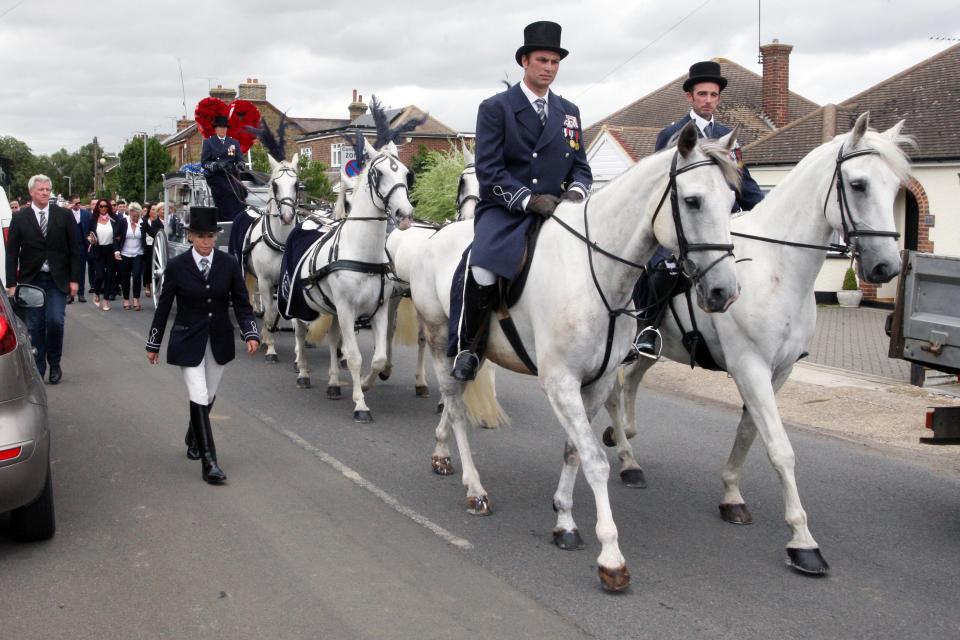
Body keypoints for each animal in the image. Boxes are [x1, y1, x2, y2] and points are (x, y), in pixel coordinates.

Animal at [242, 154, 298, 360]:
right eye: (275, 185)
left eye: (296, 184)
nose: (288, 216)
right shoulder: (264, 281)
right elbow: (269, 314)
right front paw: (271, 350)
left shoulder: (287, 281)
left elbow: (282, 315)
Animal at [290, 138, 414, 422]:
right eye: (379, 174)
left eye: (405, 174)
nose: (405, 214)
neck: (361, 253)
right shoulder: (347, 309)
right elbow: (354, 356)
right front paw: (360, 405)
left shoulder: (378, 309)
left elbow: (378, 357)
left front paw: (367, 384)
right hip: (300, 305)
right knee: (300, 333)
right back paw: (302, 372)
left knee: (333, 339)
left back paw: (334, 383)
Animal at [410, 124, 744, 592]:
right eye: (693, 201)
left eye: (733, 202)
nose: (723, 292)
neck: (597, 275)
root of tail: (436, 236)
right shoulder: (561, 383)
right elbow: (596, 461)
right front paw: (612, 558)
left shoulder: (595, 383)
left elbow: (573, 450)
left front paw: (564, 521)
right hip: (442, 341)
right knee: (456, 410)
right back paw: (474, 488)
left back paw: (442, 455)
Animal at [604, 111, 912, 576]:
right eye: (858, 184)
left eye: (895, 188)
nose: (885, 267)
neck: (777, 269)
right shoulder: (750, 366)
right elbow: (780, 449)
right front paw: (802, 541)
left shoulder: (778, 370)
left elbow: (750, 433)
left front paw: (731, 496)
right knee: (615, 390)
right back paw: (624, 451)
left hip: (655, 347)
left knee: (631, 383)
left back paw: (627, 452)